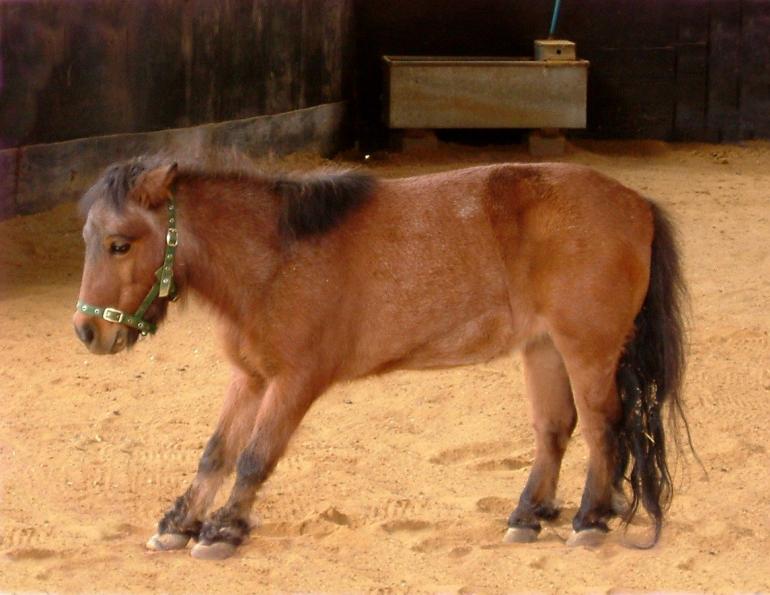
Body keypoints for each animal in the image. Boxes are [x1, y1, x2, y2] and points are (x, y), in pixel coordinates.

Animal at [73, 155, 687, 559]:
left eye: (119, 244)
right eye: (88, 240)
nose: (86, 331)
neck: (276, 256)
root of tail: (637, 204)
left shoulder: (294, 382)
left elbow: (253, 457)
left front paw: (223, 529)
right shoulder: (249, 377)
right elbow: (216, 453)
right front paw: (179, 522)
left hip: (587, 349)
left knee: (604, 426)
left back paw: (589, 520)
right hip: (544, 349)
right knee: (554, 429)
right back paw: (527, 516)